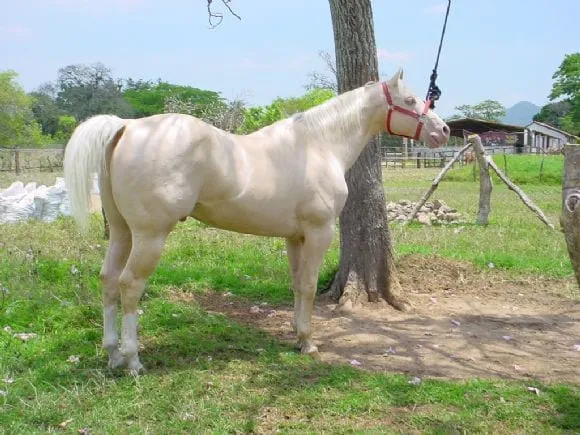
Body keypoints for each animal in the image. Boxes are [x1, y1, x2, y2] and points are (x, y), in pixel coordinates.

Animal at [65, 69, 450, 374]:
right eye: (410, 99)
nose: (444, 130)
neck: (319, 145)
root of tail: (126, 126)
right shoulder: (319, 232)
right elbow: (309, 286)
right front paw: (309, 343)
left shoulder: (294, 237)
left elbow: (297, 286)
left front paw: (298, 337)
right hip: (150, 236)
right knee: (130, 286)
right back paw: (132, 360)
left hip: (122, 232)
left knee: (108, 280)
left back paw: (113, 354)